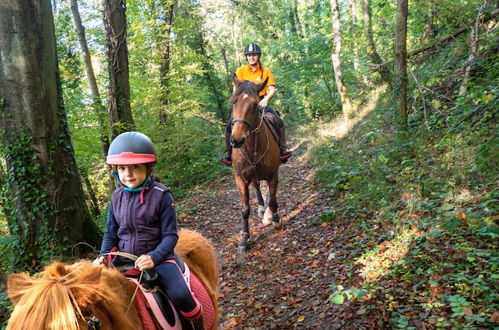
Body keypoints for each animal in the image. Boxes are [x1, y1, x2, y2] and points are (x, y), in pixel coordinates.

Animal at [229, 76, 282, 254]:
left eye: (254, 105)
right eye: (233, 102)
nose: (236, 140)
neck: (252, 147)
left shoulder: (273, 174)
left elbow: (272, 200)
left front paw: (275, 219)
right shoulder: (240, 179)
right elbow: (245, 209)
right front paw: (245, 238)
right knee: (257, 186)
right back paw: (261, 208)